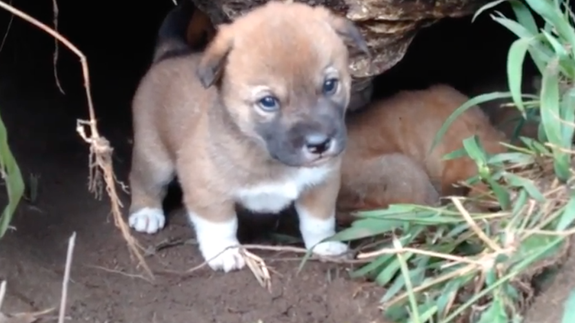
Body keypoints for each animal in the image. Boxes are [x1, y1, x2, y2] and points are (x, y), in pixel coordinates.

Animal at [129, 0, 368, 274]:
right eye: (268, 102)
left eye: (330, 85)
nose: (319, 145)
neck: (266, 156)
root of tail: (170, 53)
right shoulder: (205, 187)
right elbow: (220, 225)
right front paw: (225, 252)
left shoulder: (321, 183)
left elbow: (318, 222)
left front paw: (325, 246)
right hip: (154, 157)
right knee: (144, 180)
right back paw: (146, 212)